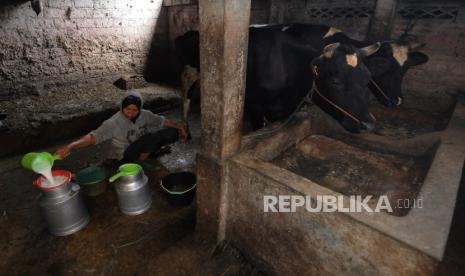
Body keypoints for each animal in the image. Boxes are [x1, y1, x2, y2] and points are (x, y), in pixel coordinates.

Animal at [176, 27, 378, 133]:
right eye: (336, 81)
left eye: (368, 79)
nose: (368, 124)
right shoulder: (255, 105)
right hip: (187, 73)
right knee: (185, 98)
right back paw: (186, 128)